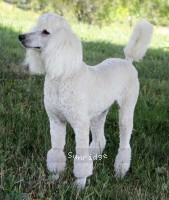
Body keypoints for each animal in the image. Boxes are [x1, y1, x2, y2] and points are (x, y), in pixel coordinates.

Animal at [18, 13, 153, 188]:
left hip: (127, 107)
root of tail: (127, 61)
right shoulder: (56, 120)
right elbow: (56, 150)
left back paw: (120, 172)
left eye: (46, 32)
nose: (21, 37)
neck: (64, 75)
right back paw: (95, 157)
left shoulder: (80, 123)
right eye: (35, 27)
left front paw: (80, 185)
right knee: (99, 138)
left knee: (125, 139)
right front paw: (54, 177)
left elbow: (81, 155)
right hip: (98, 113)